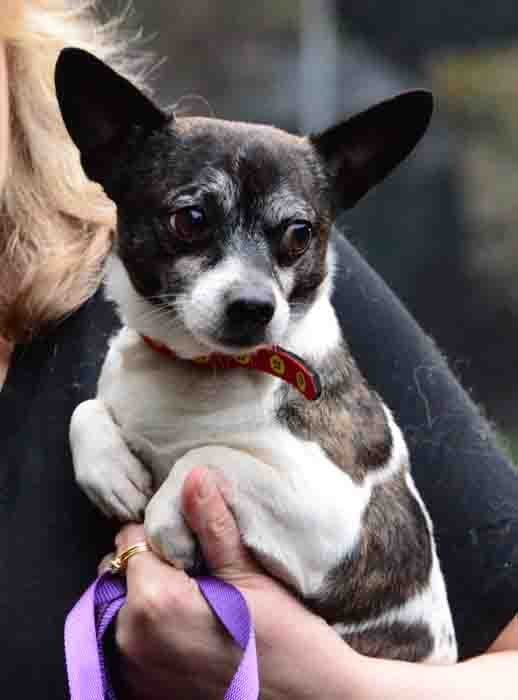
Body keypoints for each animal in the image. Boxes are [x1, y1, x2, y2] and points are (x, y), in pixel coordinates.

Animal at [57, 47, 460, 660]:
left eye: (299, 233)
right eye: (191, 219)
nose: (253, 306)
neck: (199, 369)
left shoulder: (331, 516)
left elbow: (213, 455)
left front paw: (167, 517)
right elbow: (86, 409)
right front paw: (112, 471)